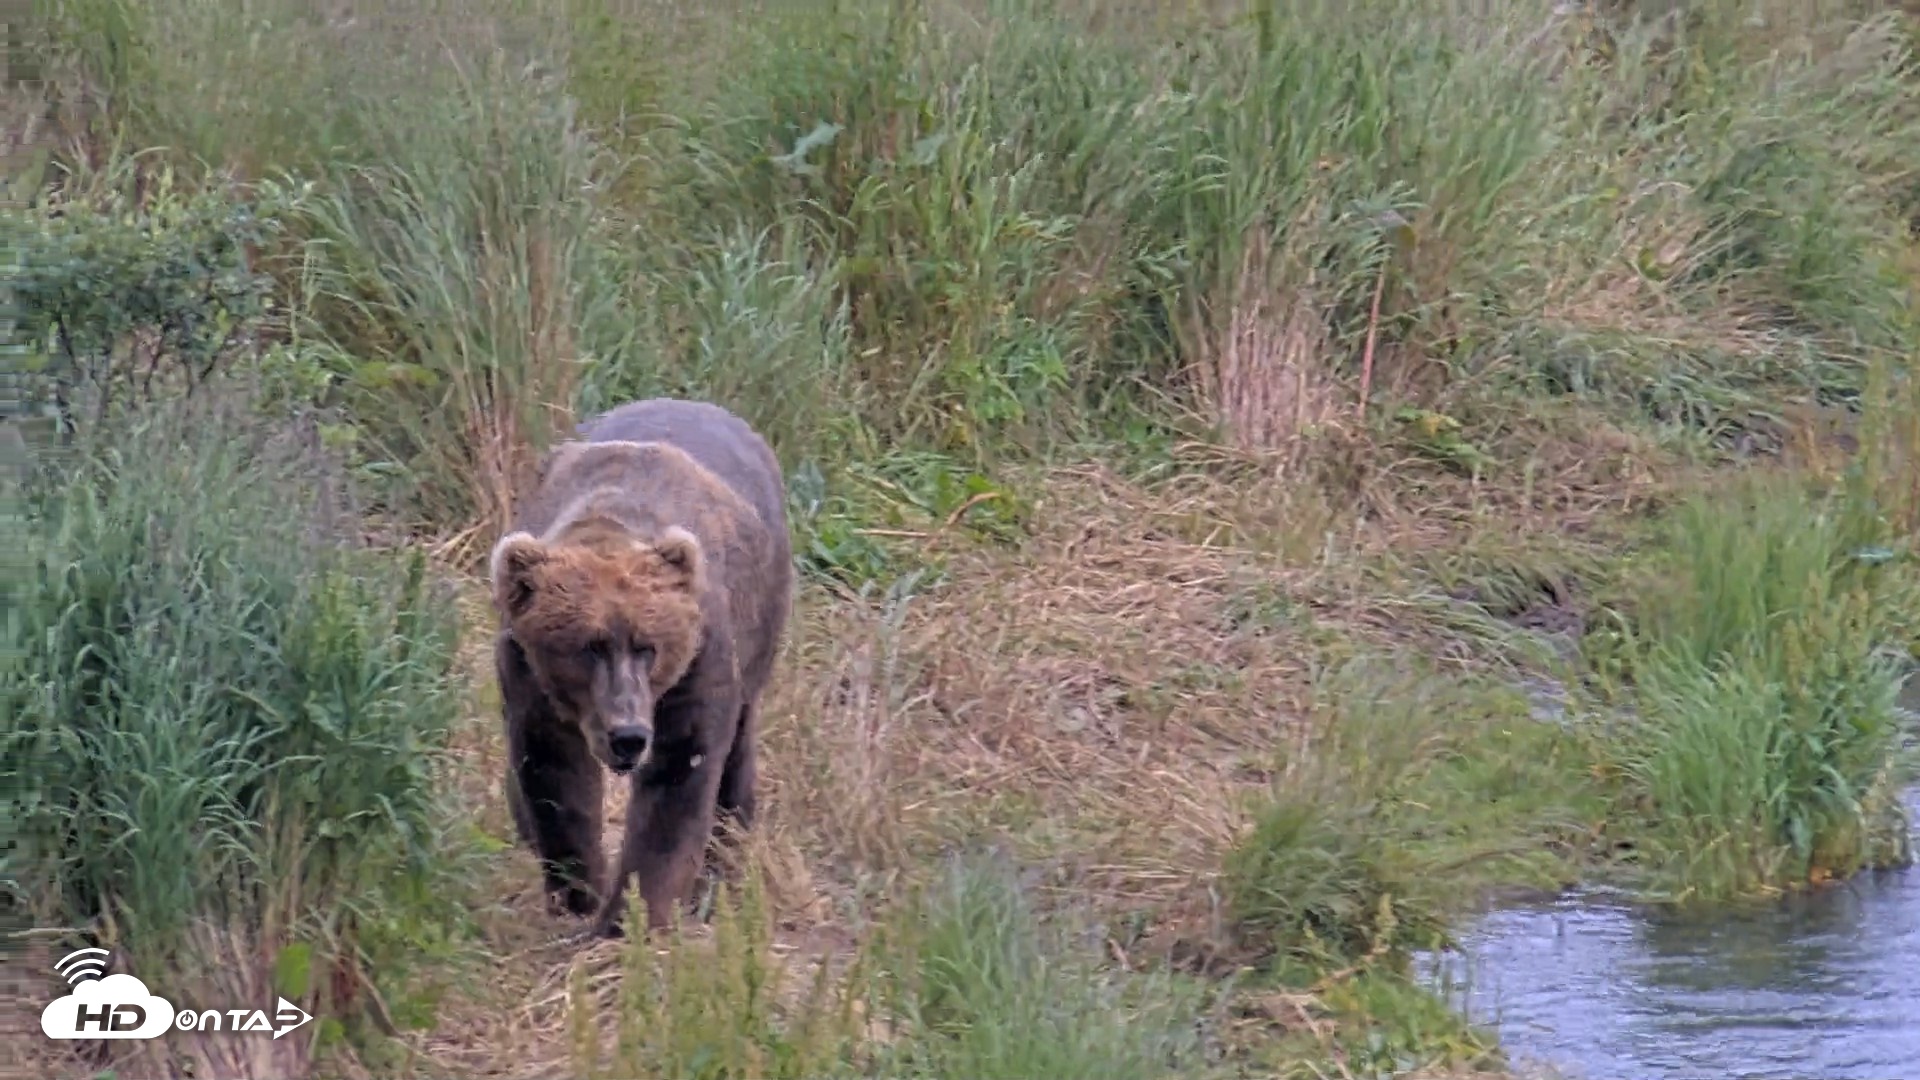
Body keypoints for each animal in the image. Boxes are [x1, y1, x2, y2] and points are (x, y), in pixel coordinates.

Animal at [489, 397, 793, 940]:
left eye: (648, 646)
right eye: (587, 647)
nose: (628, 736)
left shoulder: (697, 660)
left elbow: (679, 773)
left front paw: (631, 915)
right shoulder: (529, 674)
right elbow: (555, 773)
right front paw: (579, 893)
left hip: (762, 623)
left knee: (738, 746)